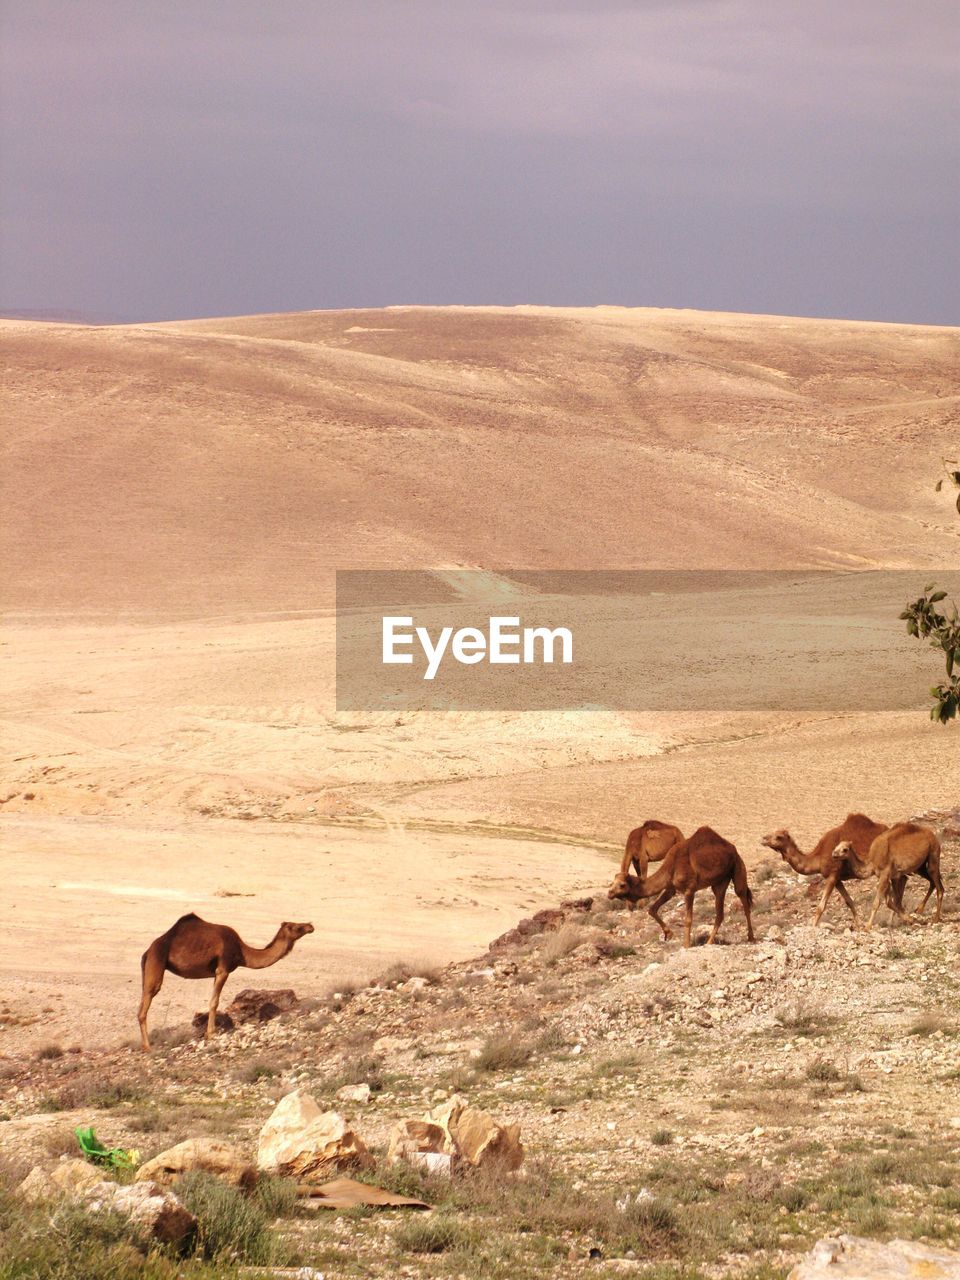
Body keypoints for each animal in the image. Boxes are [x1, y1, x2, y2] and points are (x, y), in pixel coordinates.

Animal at [138, 911, 316, 1049]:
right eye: (296, 927)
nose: (310, 926)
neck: (242, 952)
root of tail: (147, 952)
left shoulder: (218, 972)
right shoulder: (223, 969)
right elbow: (214, 1002)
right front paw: (211, 1034)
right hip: (156, 962)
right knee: (144, 1006)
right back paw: (147, 1047)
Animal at [609, 824, 757, 947]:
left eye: (622, 885)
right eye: (612, 883)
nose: (609, 893)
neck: (671, 865)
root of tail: (733, 848)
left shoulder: (689, 890)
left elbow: (688, 919)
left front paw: (686, 945)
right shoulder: (671, 887)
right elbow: (652, 909)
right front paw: (668, 934)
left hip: (737, 866)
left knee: (743, 899)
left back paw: (751, 937)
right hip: (719, 882)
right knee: (720, 913)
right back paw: (710, 942)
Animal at [762, 814, 890, 926]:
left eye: (778, 837)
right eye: (772, 833)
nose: (763, 839)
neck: (818, 858)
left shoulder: (833, 874)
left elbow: (821, 906)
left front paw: (813, 927)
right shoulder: (837, 879)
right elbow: (849, 901)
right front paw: (859, 925)